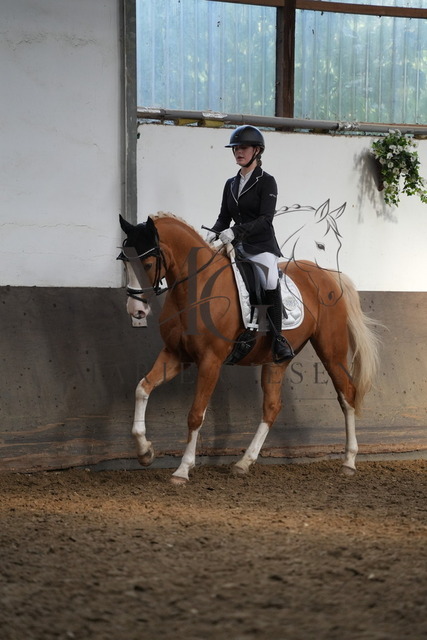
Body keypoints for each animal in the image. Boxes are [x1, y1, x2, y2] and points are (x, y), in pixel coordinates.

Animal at [117, 212, 379, 484]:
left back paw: (349, 461)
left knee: (347, 394)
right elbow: (142, 388)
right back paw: (244, 462)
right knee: (272, 407)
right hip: (276, 360)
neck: (195, 289)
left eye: (147, 264)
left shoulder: (210, 361)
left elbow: (196, 414)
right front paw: (145, 452)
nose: (136, 311)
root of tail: (327, 275)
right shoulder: (175, 354)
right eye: (124, 261)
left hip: (331, 351)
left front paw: (182, 469)